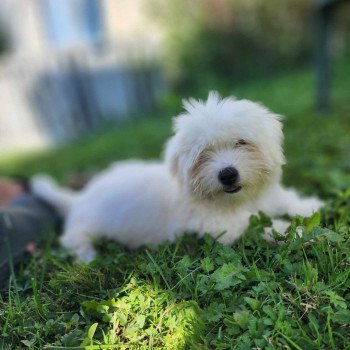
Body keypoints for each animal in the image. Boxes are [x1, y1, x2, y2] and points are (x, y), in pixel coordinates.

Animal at [32, 91, 322, 262]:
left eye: (241, 142)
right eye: (203, 154)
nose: (228, 174)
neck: (240, 200)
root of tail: (78, 198)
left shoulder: (266, 195)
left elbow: (284, 199)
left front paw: (308, 206)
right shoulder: (221, 226)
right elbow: (261, 225)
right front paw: (297, 232)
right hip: (86, 226)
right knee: (74, 239)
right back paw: (89, 257)